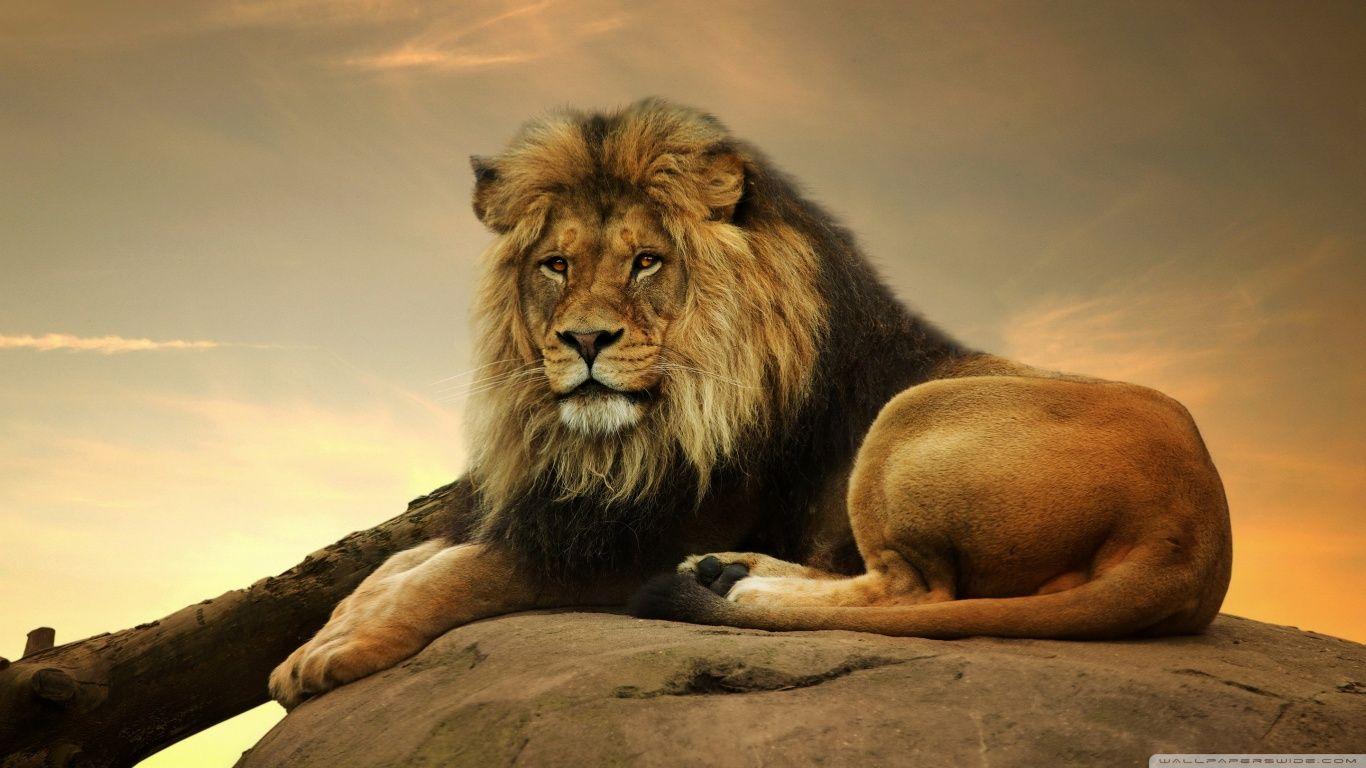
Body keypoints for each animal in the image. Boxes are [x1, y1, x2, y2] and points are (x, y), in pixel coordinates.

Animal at [268, 99, 1232, 709]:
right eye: (556, 265)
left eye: (645, 262)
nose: (585, 342)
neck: (616, 440)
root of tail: (1195, 535)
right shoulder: (558, 507)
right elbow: (401, 563)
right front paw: (323, 635)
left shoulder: (625, 540)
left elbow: (458, 574)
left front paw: (338, 653)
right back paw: (729, 574)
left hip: (910, 419)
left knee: (914, 590)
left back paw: (734, 584)